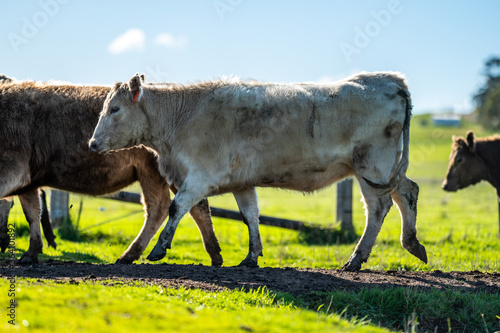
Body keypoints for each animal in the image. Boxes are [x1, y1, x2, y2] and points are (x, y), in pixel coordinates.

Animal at [0, 76, 223, 264]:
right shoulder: (29, 180)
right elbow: (32, 212)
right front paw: (31, 252)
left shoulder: (15, 169)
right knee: (173, 207)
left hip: (160, 173)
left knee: (179, 206)